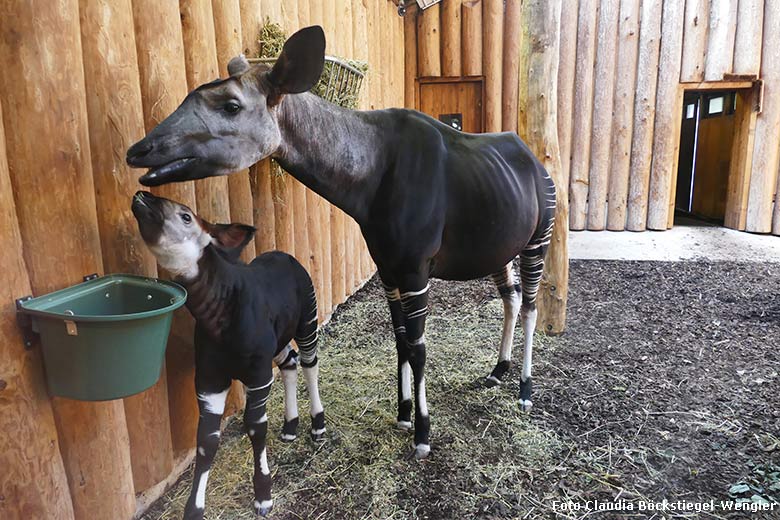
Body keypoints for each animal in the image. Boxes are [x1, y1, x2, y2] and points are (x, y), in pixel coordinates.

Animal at [130, 192, 322, 520]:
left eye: (186, 216)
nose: (140, 196)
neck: (218, 315)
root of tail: (286, 255)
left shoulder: (257, 375)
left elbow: (255, 427)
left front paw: (263, 496)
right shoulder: (210, 380)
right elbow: (206, 441)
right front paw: (194, 509)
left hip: (307, 319)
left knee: (309, 362)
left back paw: (318, 425)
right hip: (278, 341)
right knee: (290, 362)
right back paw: (290, 426)